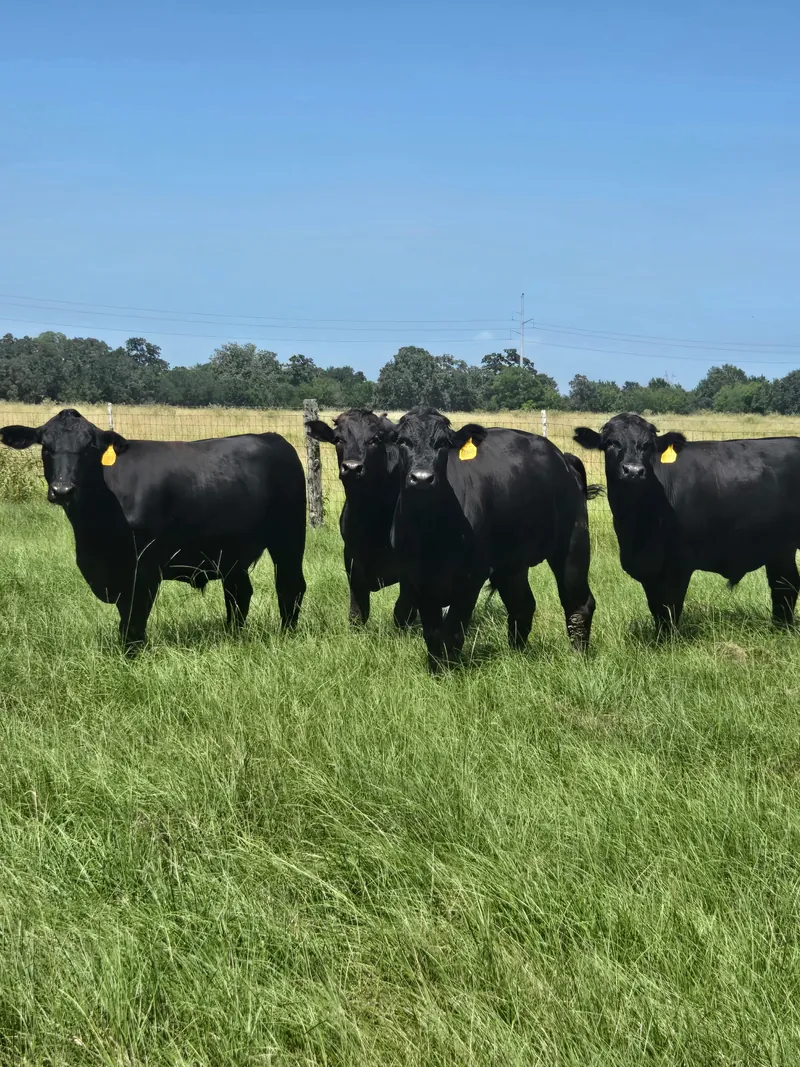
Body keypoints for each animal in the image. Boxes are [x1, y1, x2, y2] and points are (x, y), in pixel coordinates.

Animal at [0, 409, 307, 651]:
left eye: (89, 448)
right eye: (45, 447)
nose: (62, 490)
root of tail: (273, 437)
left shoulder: (144, 567)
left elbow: (133, 619)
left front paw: (131, 656)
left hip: (289, 538)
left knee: (290, 586)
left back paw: (286, 634)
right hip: (230, 550)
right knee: (238, 592)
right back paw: (233, 636)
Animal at [306, 408, 416, 627]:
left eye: (374, 439)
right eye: (338, 439)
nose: (352, 467)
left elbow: (402, 611)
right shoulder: (351, 558)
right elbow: (357, 612)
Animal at [385, 407, 596, 670]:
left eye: (443, 443)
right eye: (403, 441)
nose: (422, 478)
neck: (431, 530)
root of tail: (562, 457)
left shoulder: (471, 578)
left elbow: (453, 631)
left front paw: (450, 670)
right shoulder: (418, 578)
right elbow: (433, 632)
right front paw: (437, 669)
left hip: (573, 542)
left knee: (578, 603)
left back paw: (578, 657)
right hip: (511, 562)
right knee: (523, 605)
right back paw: (518, 655)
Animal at [574, 412, 800, 632]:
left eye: (648, 445)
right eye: (611, 443)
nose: (634, 471)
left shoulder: (679, 563)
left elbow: (670, 607)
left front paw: (669, 640)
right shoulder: (650, 567)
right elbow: (656, 607)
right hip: (780, 547)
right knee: (785, 584)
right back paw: (780, 628)